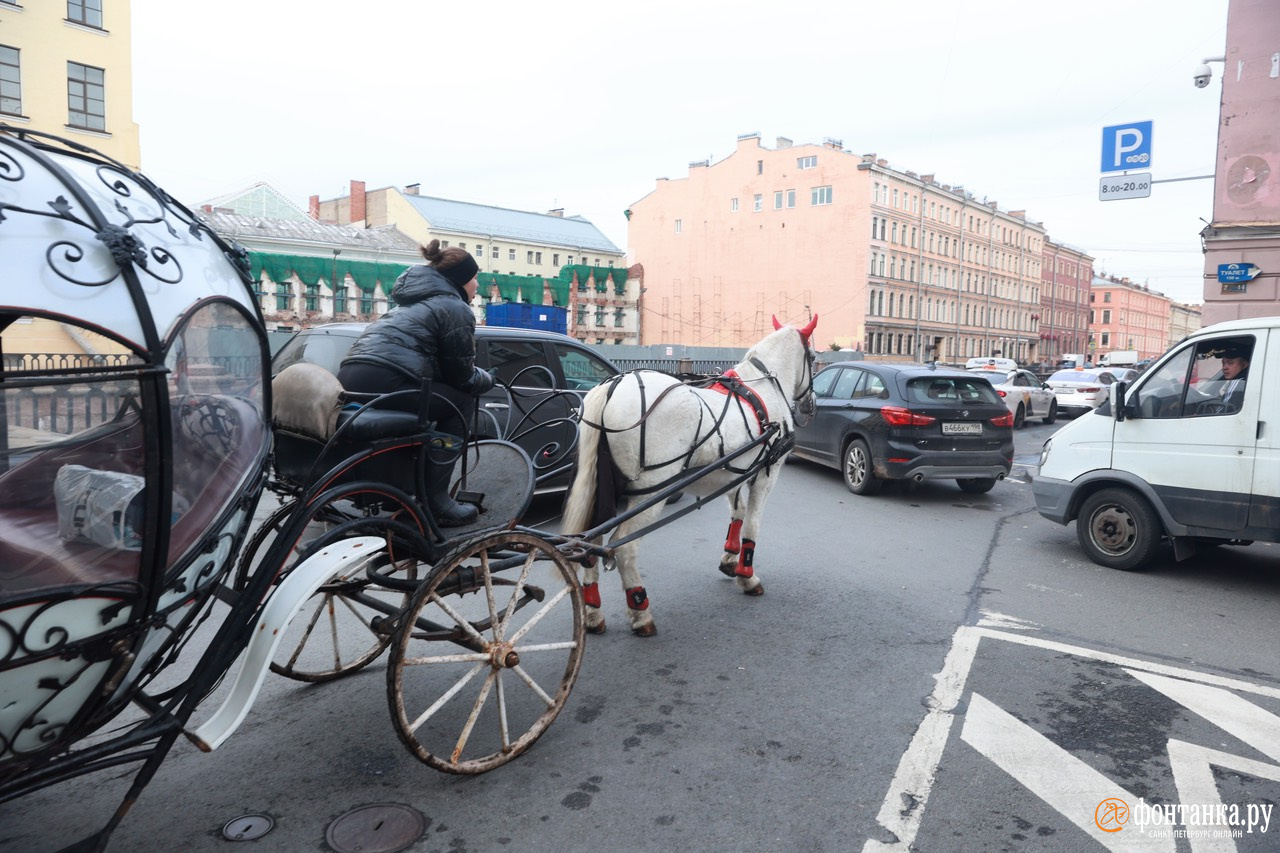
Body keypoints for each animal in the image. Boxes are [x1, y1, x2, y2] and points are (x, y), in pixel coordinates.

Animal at [563, 315, 819, 635]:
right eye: (814, 358)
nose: (812, 405)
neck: (762, 389)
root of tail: (613, 387)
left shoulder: (736, 473)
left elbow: (737, 515)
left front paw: (730, 559)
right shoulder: (765, 475)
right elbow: (752, 525)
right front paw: (747, 575)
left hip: (602, 492)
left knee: (591, 545)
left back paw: (593, 612)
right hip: (650, 493)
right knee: (624, 547)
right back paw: (640, 611)